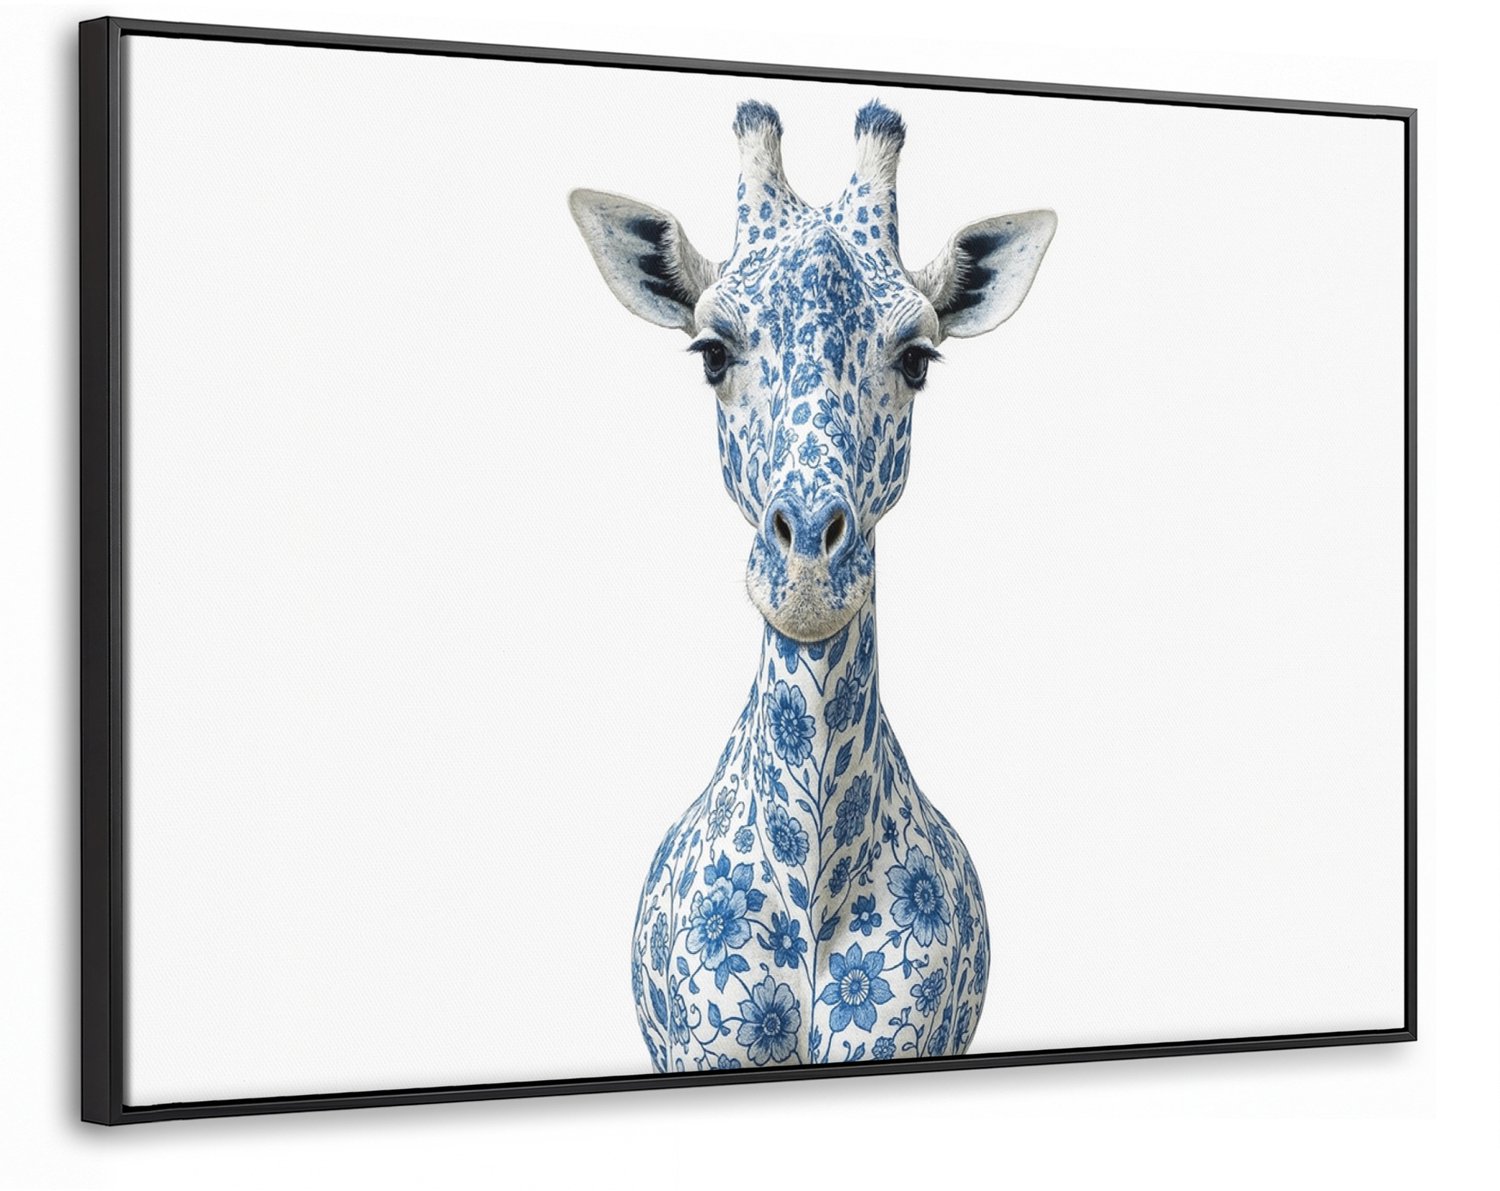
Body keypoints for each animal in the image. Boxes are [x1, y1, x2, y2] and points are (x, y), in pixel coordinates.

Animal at [570, 99, 1055, 1071]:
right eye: (711, 353)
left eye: (918, 359)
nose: (808, 580)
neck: (815, 880)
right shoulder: (704, 1049)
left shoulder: (908, 1037)